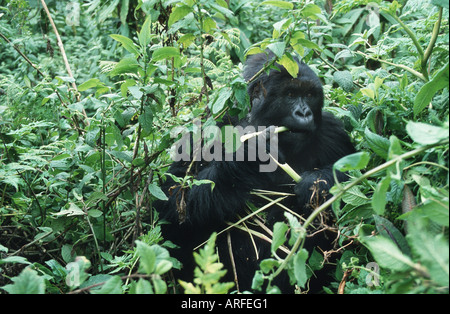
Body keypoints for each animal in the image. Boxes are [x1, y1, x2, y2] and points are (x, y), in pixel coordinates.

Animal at [156, 50, 356, 294]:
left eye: (309, 95)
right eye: (290, 94)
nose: (304, 112)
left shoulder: (332, 132)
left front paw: (317, 183)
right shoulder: (204, 131)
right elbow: (173, 204)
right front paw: (249, 156)